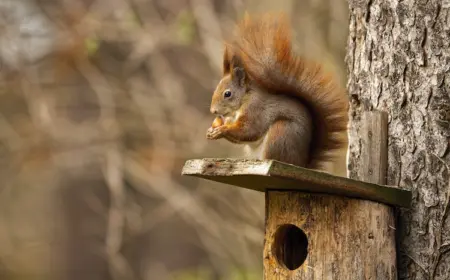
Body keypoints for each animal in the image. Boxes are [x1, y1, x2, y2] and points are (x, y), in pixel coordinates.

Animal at [206, 12, 350, 168]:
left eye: (227, 94)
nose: (213, 111)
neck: (244, 99)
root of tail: (301, 164)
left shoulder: (255, 110)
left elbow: (249, 130)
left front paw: (221, 130)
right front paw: (211, 130)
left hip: (280, 133)